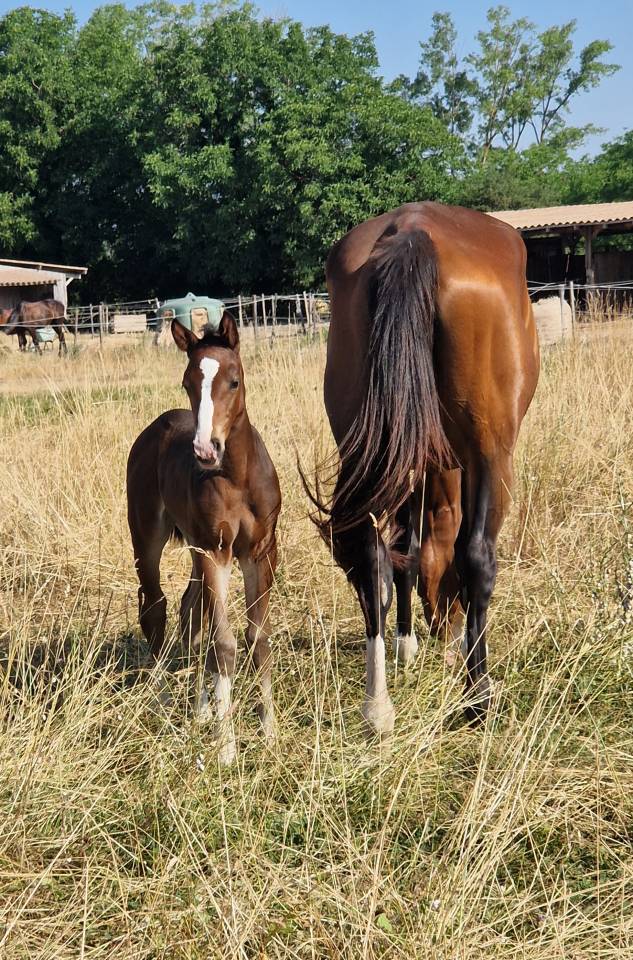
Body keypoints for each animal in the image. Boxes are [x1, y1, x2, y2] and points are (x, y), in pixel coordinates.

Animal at [127, 311, 281, 764]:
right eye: (187, 382)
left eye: (234, 380)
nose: (205, 450)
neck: (237, 476)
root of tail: (158, 425)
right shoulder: (217, 553)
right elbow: (225, 643)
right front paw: (227, 746)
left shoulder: (261, 552)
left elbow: (257, 637)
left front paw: (268, 732)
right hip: (147, 536)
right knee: (155, 606)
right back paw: (163, 703)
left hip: (196, 549)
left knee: (188, 613)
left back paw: (199, 710)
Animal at [308, 201, 539, 736]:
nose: (443, 626)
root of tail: (413, 231)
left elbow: (407, 552)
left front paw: (407, 644)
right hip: (491, 451)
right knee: (477, 556)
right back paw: (477, 699)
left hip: (370, 444)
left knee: (372, 553)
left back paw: (377, 707)